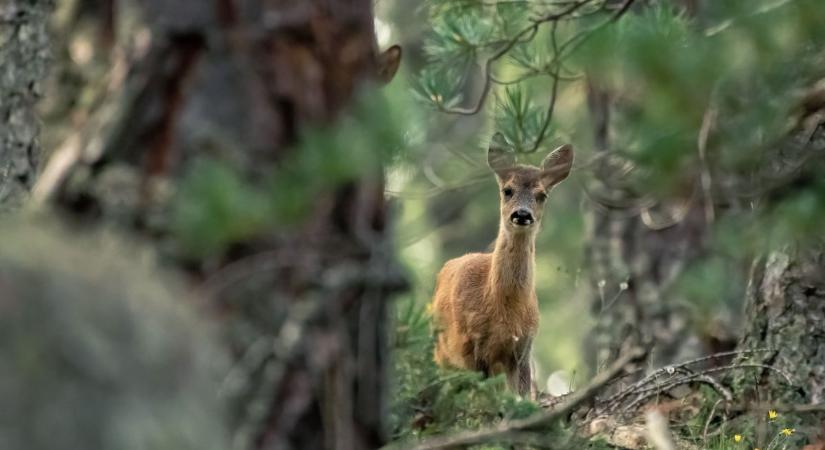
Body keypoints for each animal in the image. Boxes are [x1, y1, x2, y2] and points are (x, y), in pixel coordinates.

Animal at [432, 132, 572, 396]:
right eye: (508, 190)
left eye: (542, 195)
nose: (522, 214)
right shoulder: (472, 344)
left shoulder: (524, 346)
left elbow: (523, 396)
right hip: (443, 353)